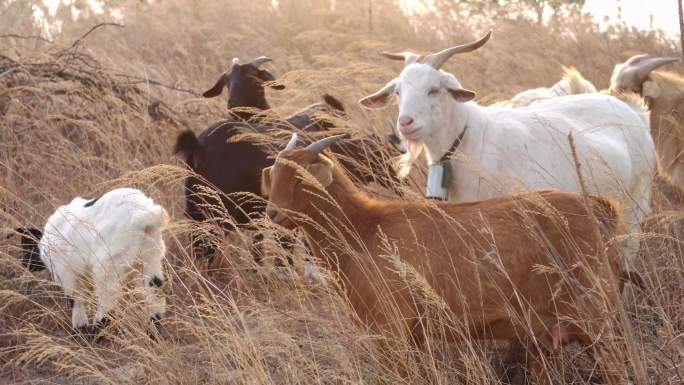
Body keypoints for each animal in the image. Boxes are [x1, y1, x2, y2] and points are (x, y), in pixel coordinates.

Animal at [262, 133, 648, 384]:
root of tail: (599, 208)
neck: (364, 229)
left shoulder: (391, 329)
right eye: (274, 175)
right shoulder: (414, 335)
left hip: (595, 320)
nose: (273, 214)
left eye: (300, 177)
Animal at [360, 30, 656, 268]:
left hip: (636, 202)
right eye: (398, 92)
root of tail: (632, 109)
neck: (470, 139)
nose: (405, 123)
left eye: (434, 89)